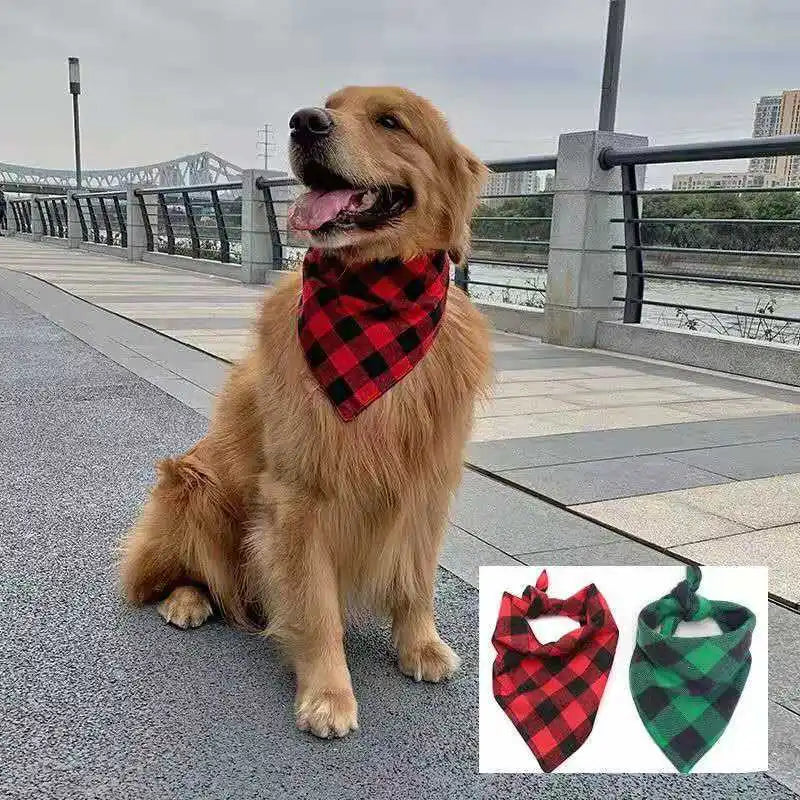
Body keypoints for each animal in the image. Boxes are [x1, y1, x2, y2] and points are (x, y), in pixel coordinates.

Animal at [119, 86, 490, 736]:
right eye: (329, 104)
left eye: (391, 121)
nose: (304, 122)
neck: (376, 304)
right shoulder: (299, 498)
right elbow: (316, 609)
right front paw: (327, 694)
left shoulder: (427, 484)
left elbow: (417, 580)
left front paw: (419, 645)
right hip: (194, 485)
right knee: (170, 576)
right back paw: (187, 599)